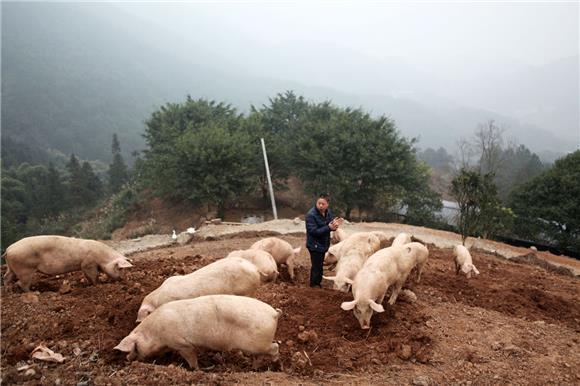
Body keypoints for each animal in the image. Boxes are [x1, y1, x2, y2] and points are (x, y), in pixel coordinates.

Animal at [1, 235, 133, 292]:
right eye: (120, 268)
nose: (123, 280)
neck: (102, 257)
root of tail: (8, 249)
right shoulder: (88, 263)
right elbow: (93, 275)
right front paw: (97, 285)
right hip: (24, 268)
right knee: (21, 283)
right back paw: (34, 292)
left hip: (11, 268)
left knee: (6, 277)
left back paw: (9, 291)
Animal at [114, 296, 280, 368]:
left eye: (135, 347)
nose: (127, 360)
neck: (156, 333)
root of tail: (274, 313)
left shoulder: (182, 344)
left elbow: (191, 359)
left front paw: (195, 370)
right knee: (261, 354)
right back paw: (254, 368)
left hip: (258, 343)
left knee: (275, 347)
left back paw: (276, 365)